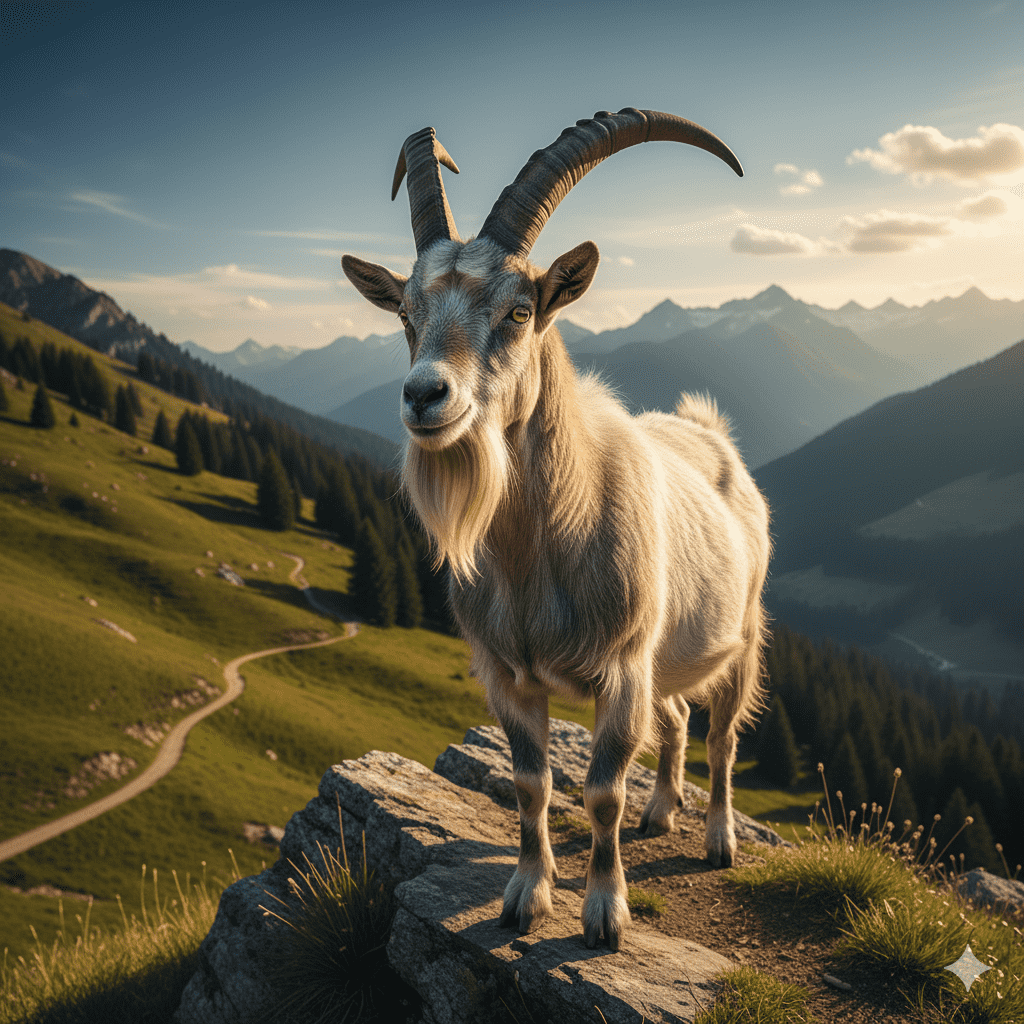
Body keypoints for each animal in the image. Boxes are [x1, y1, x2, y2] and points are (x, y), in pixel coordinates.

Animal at [342, 108, 770, 951]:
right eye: (406, 315)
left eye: (519, 310)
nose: (425, 396)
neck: (540, 553)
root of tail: (711, 435)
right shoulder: (508, 677)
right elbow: (530, 785)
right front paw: (524, 896)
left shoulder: (621, 672)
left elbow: (601, 793)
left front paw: (605, 913)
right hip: (664, 659)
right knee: (676, 720)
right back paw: (661, 811)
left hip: (740, 635)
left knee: (722, 737)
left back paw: (717, 838)